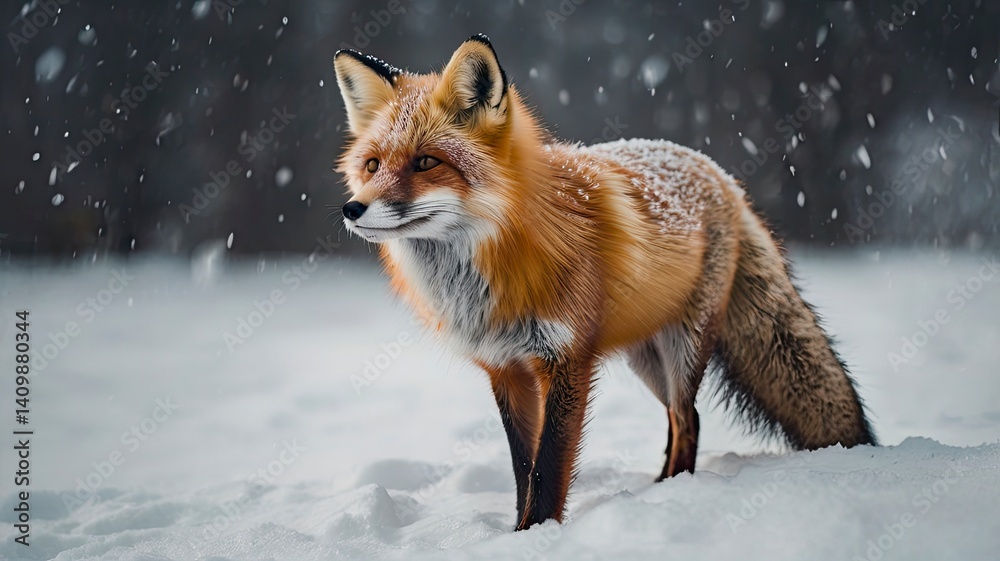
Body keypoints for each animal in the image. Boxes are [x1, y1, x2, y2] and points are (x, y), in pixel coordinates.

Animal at [333, 34, 876, 530]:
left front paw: (539, 533)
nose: (352, 208)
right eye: (372, 165)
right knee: (682, 418)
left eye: (426, 162)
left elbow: (549, 468)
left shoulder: (567, 359)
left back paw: (672, 493)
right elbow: (522, 467)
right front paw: (517, 532)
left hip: (683, 347)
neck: (492, 273)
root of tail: (721, 175)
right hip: (645, 358)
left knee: (689, 419)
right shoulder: (505, 368)